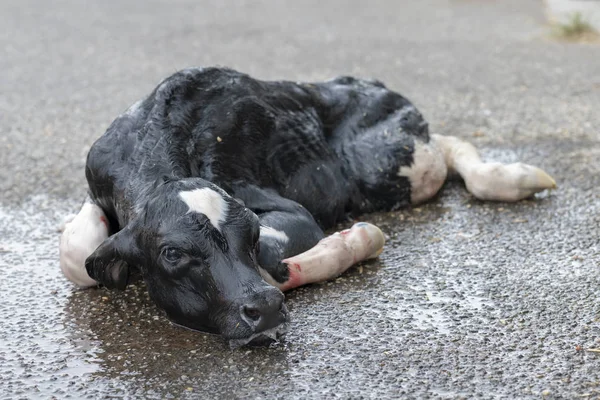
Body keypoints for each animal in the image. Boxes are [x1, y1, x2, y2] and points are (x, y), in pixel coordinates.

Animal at [58, 66, 556, 346]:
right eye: (173, 253)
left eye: (251, 233)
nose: (264, 307)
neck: (153, 142)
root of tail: (368, 81)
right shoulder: (95, 176)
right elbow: (76, 254)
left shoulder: (284, 208)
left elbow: (277, 255)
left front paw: (353, 240)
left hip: (389, 167)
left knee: (444, 149)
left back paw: (512, 178)